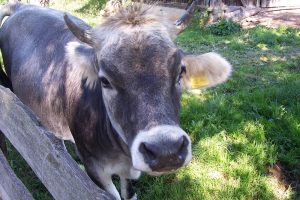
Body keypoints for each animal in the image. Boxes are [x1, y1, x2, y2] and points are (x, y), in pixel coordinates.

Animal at [0, 2, 232, 199]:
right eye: (104, 81)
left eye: (180, 72)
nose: (166, 150)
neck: (120, 152)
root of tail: (21, 6)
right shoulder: (94, 168)